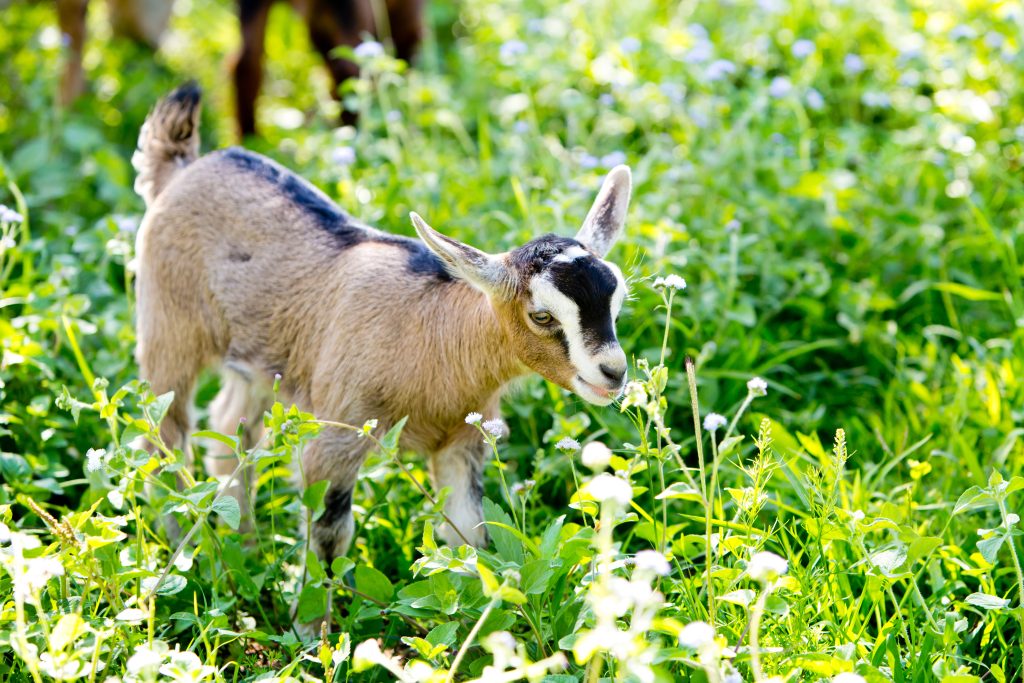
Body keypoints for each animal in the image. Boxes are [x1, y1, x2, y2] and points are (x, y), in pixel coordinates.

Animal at [134, 85, 630, 569]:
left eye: (618, 299)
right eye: (541, 316)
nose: (614, 372)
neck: (435, 333)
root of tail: (181, 169)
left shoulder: (462, 442)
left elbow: (467, 539)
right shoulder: (337, 436)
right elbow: (329, 539)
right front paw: (317, 600)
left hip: (258, 359)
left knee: (230, 430)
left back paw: (247, 550)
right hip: (167, 328)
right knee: (163, 438)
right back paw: (184, 554)